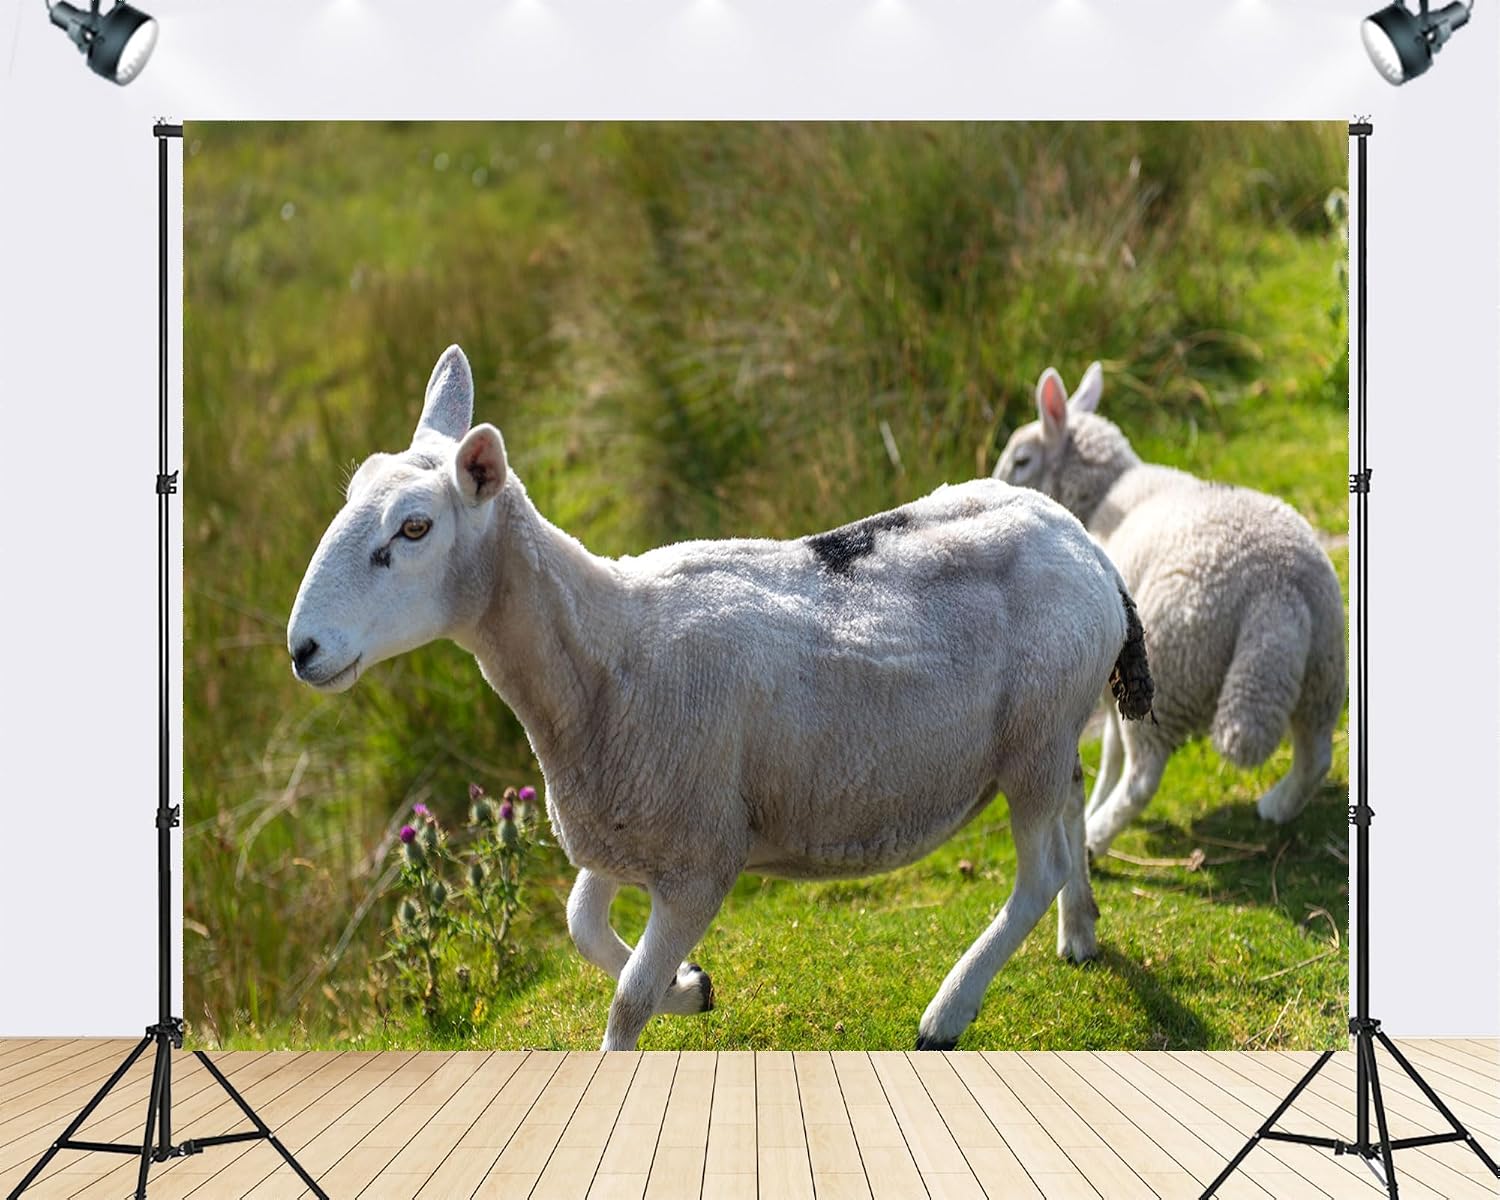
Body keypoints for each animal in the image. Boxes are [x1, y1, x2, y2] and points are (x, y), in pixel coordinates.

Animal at [287, 345, 1155, 1051]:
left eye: (414, 529)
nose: (303, 650)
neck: (605, 655)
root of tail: (1083, 542)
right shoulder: (625, 824)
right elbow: (583, 928)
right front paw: (694, 987)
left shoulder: (699, 856)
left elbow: (625, 1002)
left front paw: (655, 1009)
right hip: (1051, 728)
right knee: (1073, 810)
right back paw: (1081, 932)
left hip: (1031, 735)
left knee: (1039, 870)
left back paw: (949, 1009)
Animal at [994, 362, 1345, 859]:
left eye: (1022, 460)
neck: (1104, 496)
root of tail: (1275, 589)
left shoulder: (1116, 671)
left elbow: (1112, 753)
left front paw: (1095, 802)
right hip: (1322, 667)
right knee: (1316, 755)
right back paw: (1276, 806)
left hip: (1172, 664)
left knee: (1142, 778)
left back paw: (1098, 837)